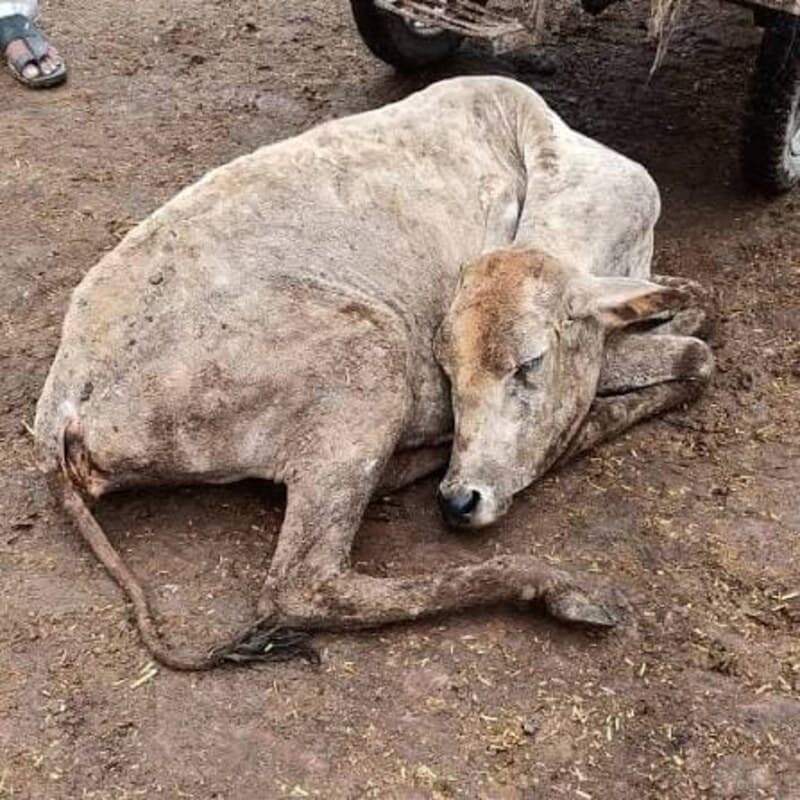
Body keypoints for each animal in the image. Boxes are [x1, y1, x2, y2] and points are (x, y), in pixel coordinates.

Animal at [34, 76, 713, 670]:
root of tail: (63, 405)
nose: (460, 499)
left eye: (530, 363)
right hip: (369, 357)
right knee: (301, 588)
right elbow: (696, 358)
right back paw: (556, 585)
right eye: (448, 370)